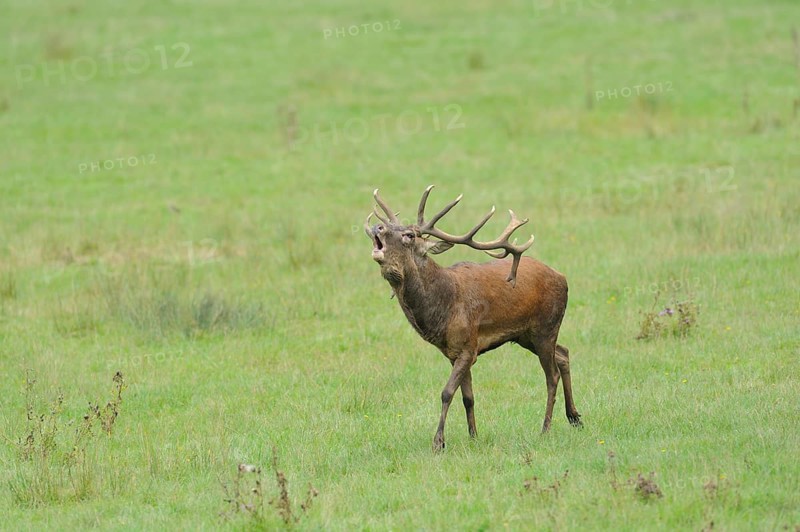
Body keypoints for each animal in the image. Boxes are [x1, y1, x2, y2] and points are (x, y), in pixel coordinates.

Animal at [364, 185, 581, 452]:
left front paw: (438, 442)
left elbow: (447, 392)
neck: (444, 309)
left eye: (409, 235)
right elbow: (468, 397)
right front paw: (473, 436)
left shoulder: (469, 346)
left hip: (546, 327)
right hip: (527, 335)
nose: (378, 227)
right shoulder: (454, 352)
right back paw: (575, 417)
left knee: (552, 375)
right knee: (563, 353)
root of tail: (563, 278)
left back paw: (546, 428)